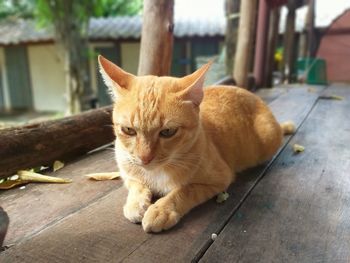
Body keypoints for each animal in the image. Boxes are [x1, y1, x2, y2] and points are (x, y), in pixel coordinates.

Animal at [98, 55, 292, 233]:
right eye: (128, 130)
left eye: (168, 132)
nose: (144, 158)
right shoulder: (127, 171)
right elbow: (136, 184)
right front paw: (136, 204)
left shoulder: (220, 178)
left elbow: (185, 190)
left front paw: (161, 210)